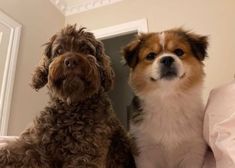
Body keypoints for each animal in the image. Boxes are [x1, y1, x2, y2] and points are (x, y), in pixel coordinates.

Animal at [0, 25, 136, 168]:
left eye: (86, 49)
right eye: (59, 50)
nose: (71, 61)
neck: (71, 105)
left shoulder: (86, 152)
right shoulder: (33, 142)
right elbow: (11, 152)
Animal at [123, 28, 207, 167]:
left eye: (179, 52)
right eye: (151, 56)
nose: (167, 59)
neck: (168, 98)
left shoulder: (194, 151)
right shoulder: (144, 151)